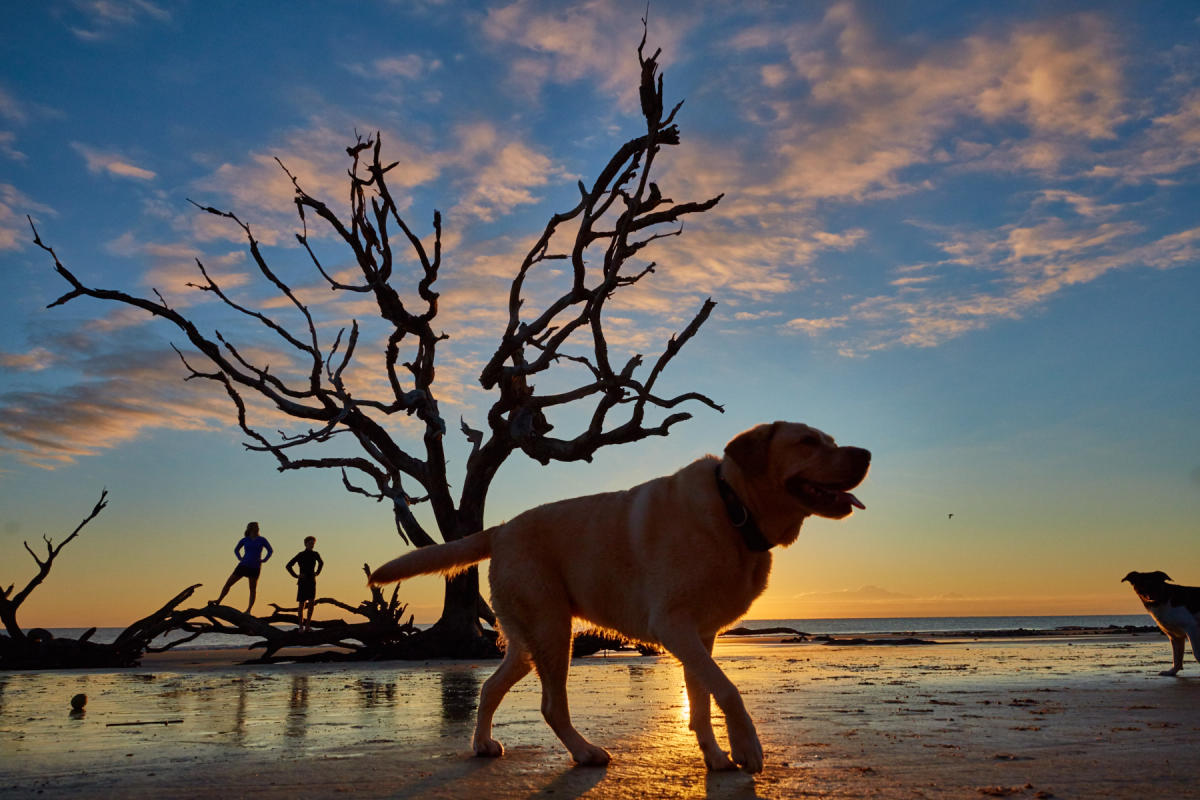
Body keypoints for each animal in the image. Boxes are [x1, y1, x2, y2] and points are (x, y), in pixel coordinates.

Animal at [369, 422, 868, 772]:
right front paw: (747, 748)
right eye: (807, 441)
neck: (734, 510)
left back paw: (482, 744)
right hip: (553, 631)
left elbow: (701, 700)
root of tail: (501, 528)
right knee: (552, 706)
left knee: (491, 686)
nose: (865, 453)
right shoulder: (673, 625)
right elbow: (727, 689)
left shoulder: (700, 636)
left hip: (527, 639)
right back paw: (586, 753)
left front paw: (715, 757)